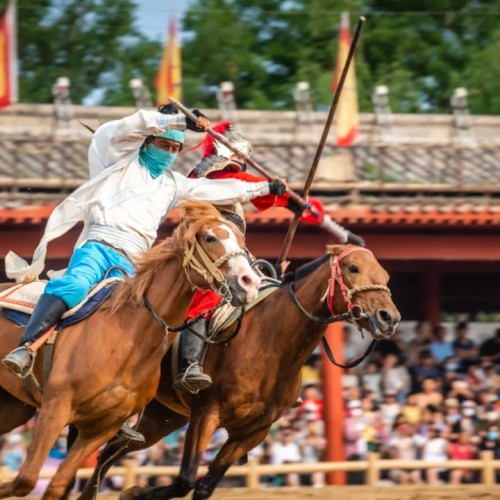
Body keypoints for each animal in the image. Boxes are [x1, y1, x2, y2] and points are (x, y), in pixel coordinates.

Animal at [0, 201, 262, 500]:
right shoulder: (56, 408)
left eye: (241, 239)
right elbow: (25, 480)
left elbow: (56, 485)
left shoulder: (100, 428)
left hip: (13, 407)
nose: (249, 282)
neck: (126, 342)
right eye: (209, 238)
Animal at [80, 245, 400, 500]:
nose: (389, 318)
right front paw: (134, 492)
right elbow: (185, 479)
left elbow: (204, 486)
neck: (272, 343)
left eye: (386, 276)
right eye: (353, 268)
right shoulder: (207, 414)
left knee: (111, 450)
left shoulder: (253, 431)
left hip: (163, 416)